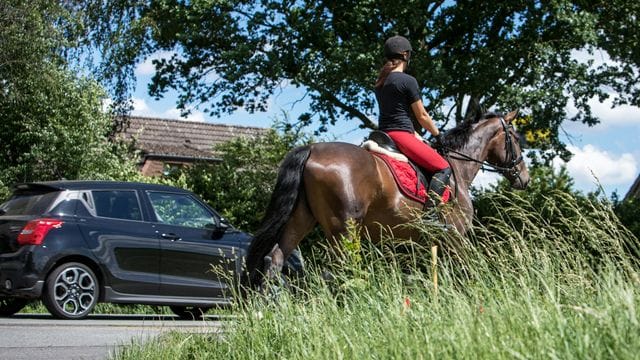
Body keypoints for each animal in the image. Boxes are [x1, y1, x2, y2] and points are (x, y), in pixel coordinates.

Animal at [245, 110, 528, 286]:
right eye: (515, 138)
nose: (524, 178)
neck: (458, 167)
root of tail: (312, 149)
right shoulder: (456, 238)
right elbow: (466, 270)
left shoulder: (428, 242)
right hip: (344, 230)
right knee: (338, 271)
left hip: (302, 219)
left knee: (275, 259)